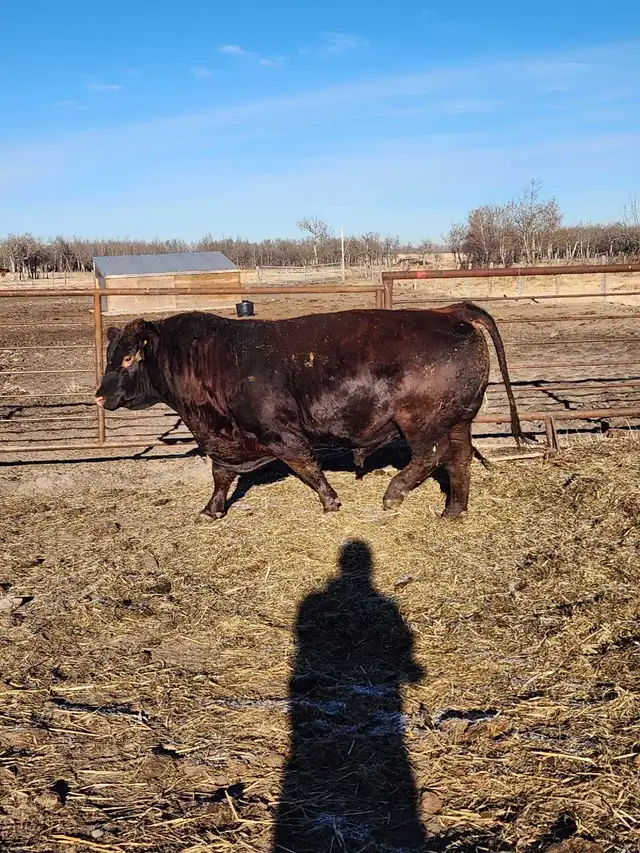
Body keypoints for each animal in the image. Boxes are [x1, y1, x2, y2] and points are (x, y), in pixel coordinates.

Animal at [95, 303, 522, 519]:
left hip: (422, 421)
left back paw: (394, 493)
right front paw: (211, 510)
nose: (99, 396)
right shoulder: (226, 440)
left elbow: (306, 465)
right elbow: (221, 475)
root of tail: (449, 312)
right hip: (458, 420)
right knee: (459, 460)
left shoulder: (279, 433)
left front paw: (331, 501)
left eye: (129, 358)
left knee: (431, 455)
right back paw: (453, 511)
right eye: (112, 356)